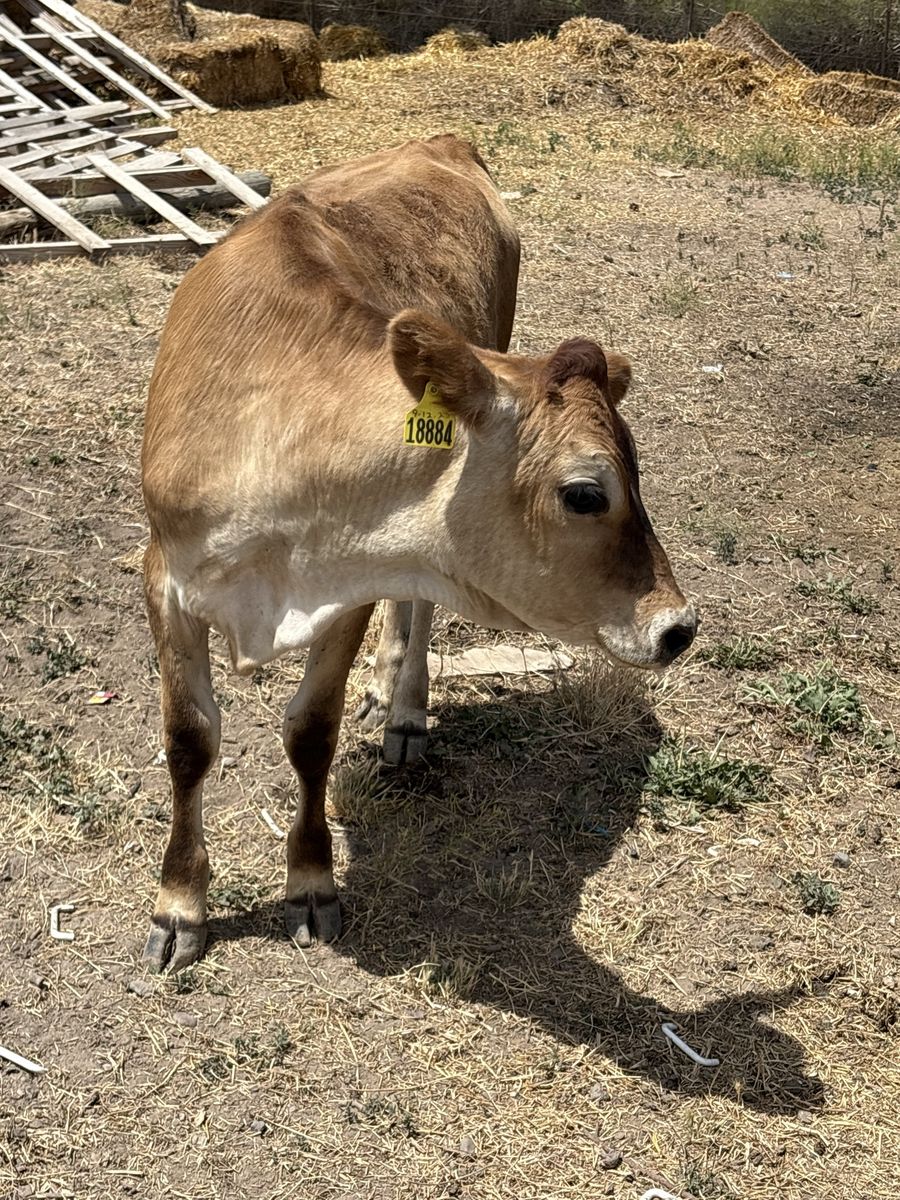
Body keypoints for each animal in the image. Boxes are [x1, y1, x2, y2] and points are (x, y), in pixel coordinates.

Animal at [140, 134, 697, 972]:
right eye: (585, 493)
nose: (678, 626)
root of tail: (440, 143)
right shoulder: (166, 577)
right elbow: (189, 739)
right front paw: (179, 904)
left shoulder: (350, 585)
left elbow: (311, 733)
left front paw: (311, 883)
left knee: (421, 602)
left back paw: (406, 714)